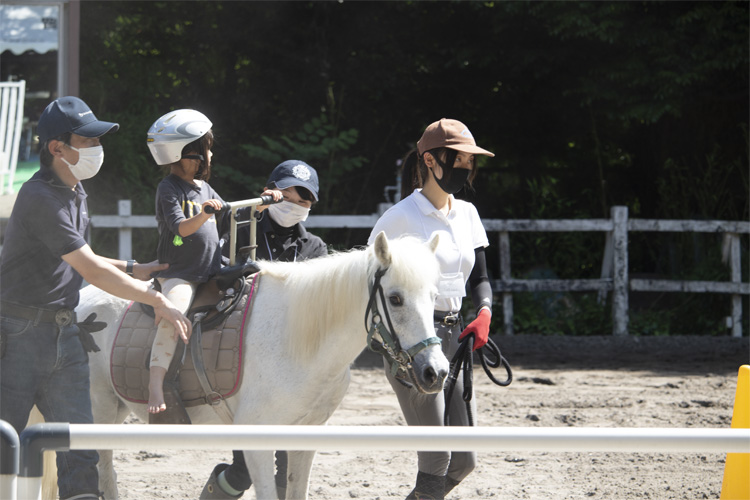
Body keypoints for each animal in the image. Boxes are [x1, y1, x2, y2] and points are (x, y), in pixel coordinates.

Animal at [80, 234, 450, 500]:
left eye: (434, 297)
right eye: (395, 299)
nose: (436, 372)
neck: (298, 339)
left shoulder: (305, 436)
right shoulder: (258, 440)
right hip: (98, 412)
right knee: (103, 473)